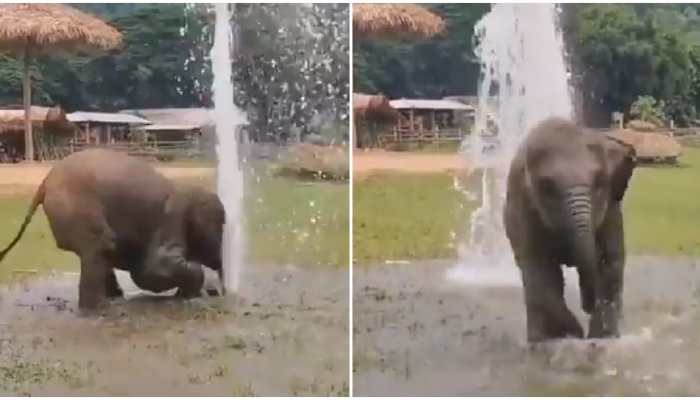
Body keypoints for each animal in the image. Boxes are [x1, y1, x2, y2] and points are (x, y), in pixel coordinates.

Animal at [0, 149, 225, 310]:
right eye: (221, 225)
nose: (222, 291)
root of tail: (44, 183)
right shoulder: (173, 220)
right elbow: (148, 271)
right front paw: (196, 295)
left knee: (100, 252)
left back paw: (114, 298)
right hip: (78, 207)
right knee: (101, 245)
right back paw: (103, 308)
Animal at [504, 117, 636, 342]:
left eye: (600, 182)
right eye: (547, 187)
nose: (587, 305)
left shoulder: (611, 210)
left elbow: (611, 262)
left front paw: (603, 337)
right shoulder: (524, 212)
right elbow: (540, 268)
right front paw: (572, 333)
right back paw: (540, 339)